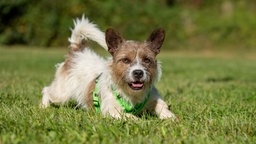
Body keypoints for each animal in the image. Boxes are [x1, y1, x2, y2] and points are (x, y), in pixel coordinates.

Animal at [41, 16, 176, 119]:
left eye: (147, 60)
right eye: (125, 60)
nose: (138, 73)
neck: (132, 94)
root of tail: (77, 52)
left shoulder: (154, 99)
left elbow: (163, 107)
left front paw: (171, 118)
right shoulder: (112, 110)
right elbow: (128, 116)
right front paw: (139, 121)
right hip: (61, 93)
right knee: (46, 90)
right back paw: (44, 106)